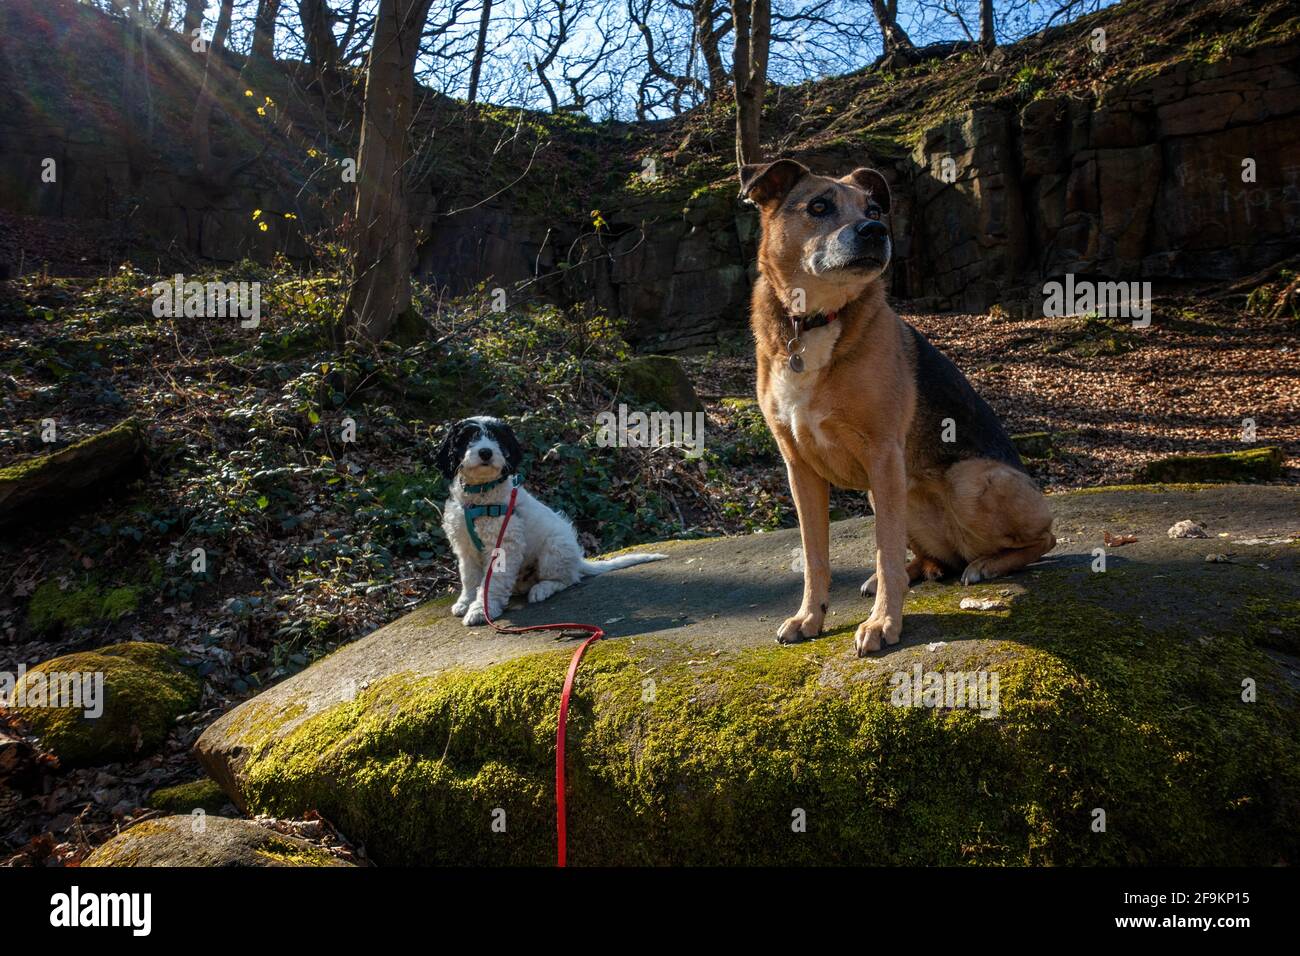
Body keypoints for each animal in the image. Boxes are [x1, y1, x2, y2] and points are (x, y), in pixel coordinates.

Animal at [436, 416, 665, 629]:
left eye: (497, 438)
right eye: (468, 438)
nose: (485, 452)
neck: (480, 495)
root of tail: (578, 560)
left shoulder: (503, 545)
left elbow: (493, 582)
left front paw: (481, 610)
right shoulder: (465, 546)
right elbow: (469, 577)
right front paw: (466, 602)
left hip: (553, 551)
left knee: (567, 579)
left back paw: (542, 589)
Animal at [743, 162, 1055, 658]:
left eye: (873, 209)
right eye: (818, 206)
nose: (875, 231)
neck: (811, 323)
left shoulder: (883, 455)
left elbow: (884, 547)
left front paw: (883, 623)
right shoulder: (800, 468)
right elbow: (815, 557)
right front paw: (810, 616)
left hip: (968, 481)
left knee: (1045, 537)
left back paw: (987, 564)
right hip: (891, 493)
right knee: (936, 559)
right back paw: (914, 572)